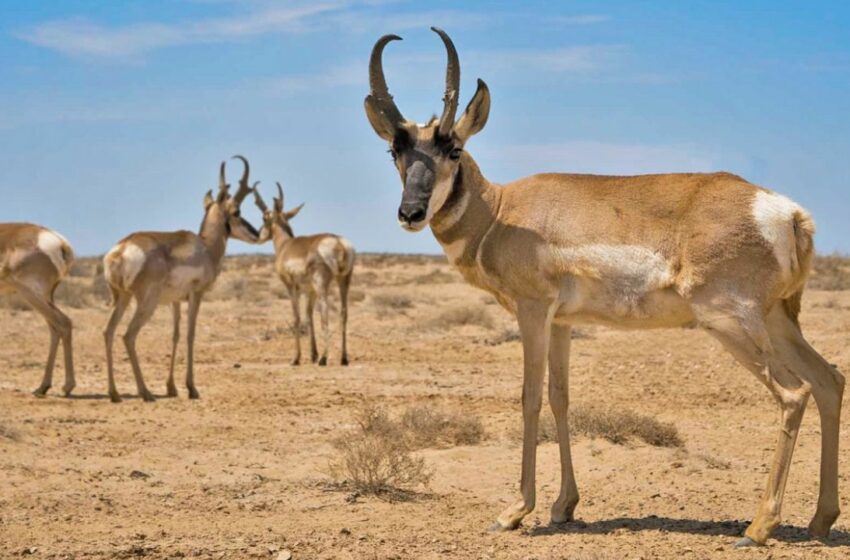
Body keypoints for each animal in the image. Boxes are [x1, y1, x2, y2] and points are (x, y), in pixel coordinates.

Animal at [0, 221, 75, 396]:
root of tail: (60, 241)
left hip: (31, 295)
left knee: (63, 323)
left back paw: (65, 387)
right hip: (45, 297)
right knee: (56, 328)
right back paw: (43, 387)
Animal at [101, 158, 258, 402]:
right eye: (236, 211)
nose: (257, 233)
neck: (206, 247)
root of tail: (121, 249)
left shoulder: (174, 301)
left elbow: (175, 335)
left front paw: (171, 387)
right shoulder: (196, 295)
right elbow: (190, 335)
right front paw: (192, 388)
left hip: (123, 298)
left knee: (108, 332)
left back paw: (115, 393)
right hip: (146, 303)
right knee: (128, 335)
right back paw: (145, 392)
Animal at [253, 183, 356, 368]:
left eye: (265, 218)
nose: (258, 235)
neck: (286, 245)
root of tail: (338, 242)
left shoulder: (291, 286)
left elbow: (297, 317)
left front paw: (296, 358)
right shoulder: (310, 290)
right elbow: (308, 316)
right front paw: (312, 354)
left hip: (322, 285)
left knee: (325, 312)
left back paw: (324, 359)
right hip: (343, 280)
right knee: (344, 312)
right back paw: (343, 359)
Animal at [362, 27, 840, 548]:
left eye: (452, 149)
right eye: (395, 151)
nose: (410, 213)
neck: (502, 212)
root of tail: (786, 211)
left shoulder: (532, 311)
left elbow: (529, 397)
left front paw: (514, 511)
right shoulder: (563, 324)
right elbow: (560, 396)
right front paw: (563, 506)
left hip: (731, 324)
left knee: (794, 393)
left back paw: (758, 527)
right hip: (776, 321)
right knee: (829, 381)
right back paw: (820, 519)